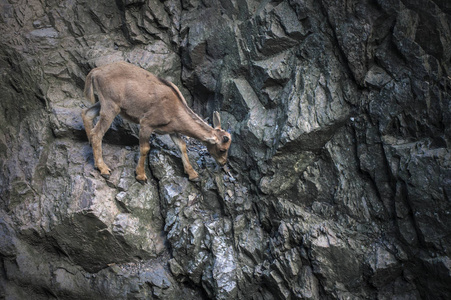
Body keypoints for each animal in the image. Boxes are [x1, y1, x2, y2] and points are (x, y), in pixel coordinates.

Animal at [80, 62, 233, 182]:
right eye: (222, 149)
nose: (223, 163)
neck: (175, 110)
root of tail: (95, 72)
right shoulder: (146, 123)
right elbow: (145, 148)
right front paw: (141, 176)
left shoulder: (173, 130)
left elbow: (182, 146)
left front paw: (193, 174)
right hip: (110, 105)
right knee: (97, 133)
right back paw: (103, 168)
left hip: (105, 103)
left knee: (86, 113)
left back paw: (91, 150)